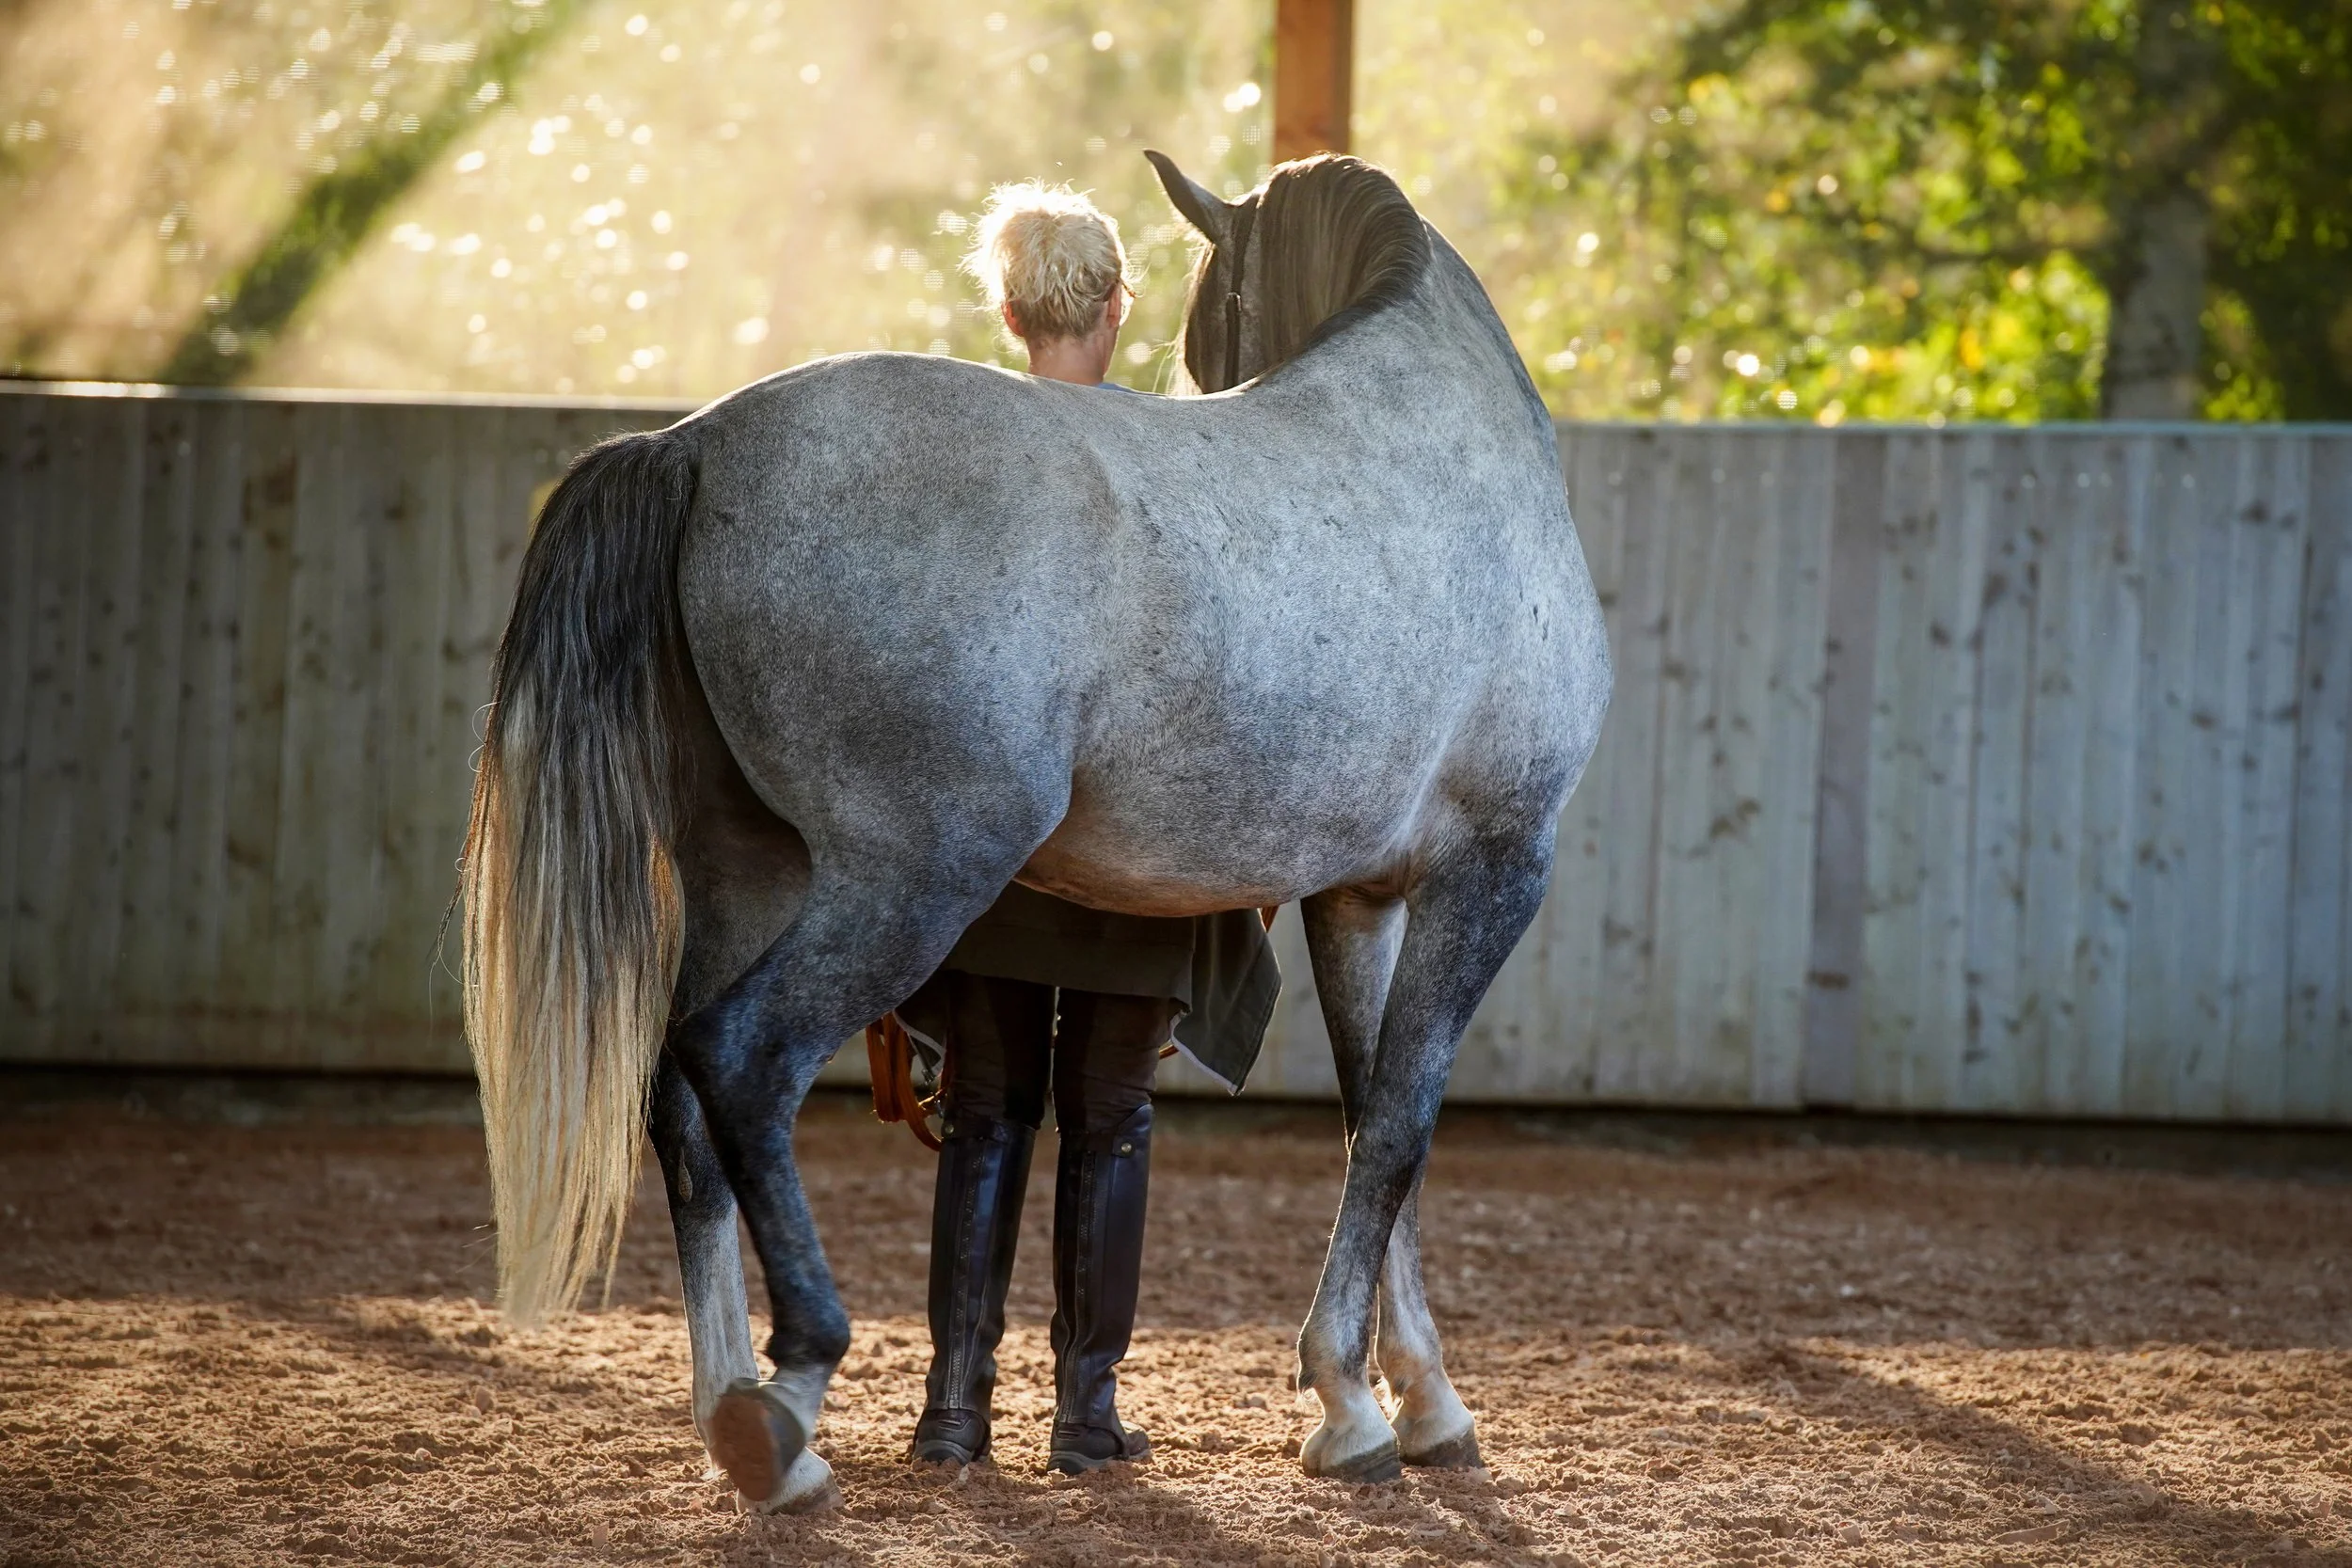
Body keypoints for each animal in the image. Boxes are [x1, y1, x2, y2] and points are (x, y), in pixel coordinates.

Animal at [460, 150, 1612, 1511]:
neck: (1437, 446)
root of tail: (693, 447)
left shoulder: (1360, 895)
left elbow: (1371, 1121)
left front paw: (1407, 1396)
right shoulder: (1495, 868)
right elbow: (1399, 1127)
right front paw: (1356, 1406)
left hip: (749, 870)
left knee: (682, 1099)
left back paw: (732, 1409)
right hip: (906, 878)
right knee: (740, 1059)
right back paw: (789, 1398)